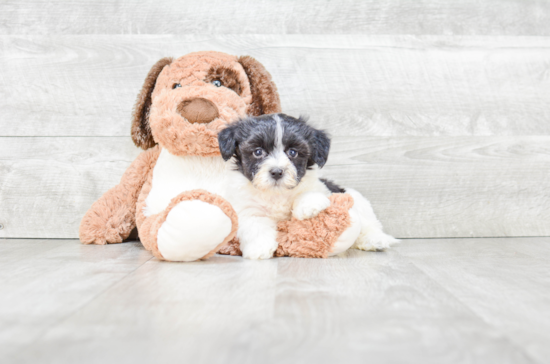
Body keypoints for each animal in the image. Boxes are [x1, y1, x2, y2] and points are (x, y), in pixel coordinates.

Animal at [218, 113, 398, 258]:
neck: (277, 193)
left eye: (293, 152)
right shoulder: (247, 208)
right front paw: (259, 249)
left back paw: (376, 240)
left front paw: (308, 206)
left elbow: (308, 192)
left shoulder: (320, 188)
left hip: (357, 199)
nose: (277, 172)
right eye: (258, 152)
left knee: (369, 223)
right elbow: (255, 225)